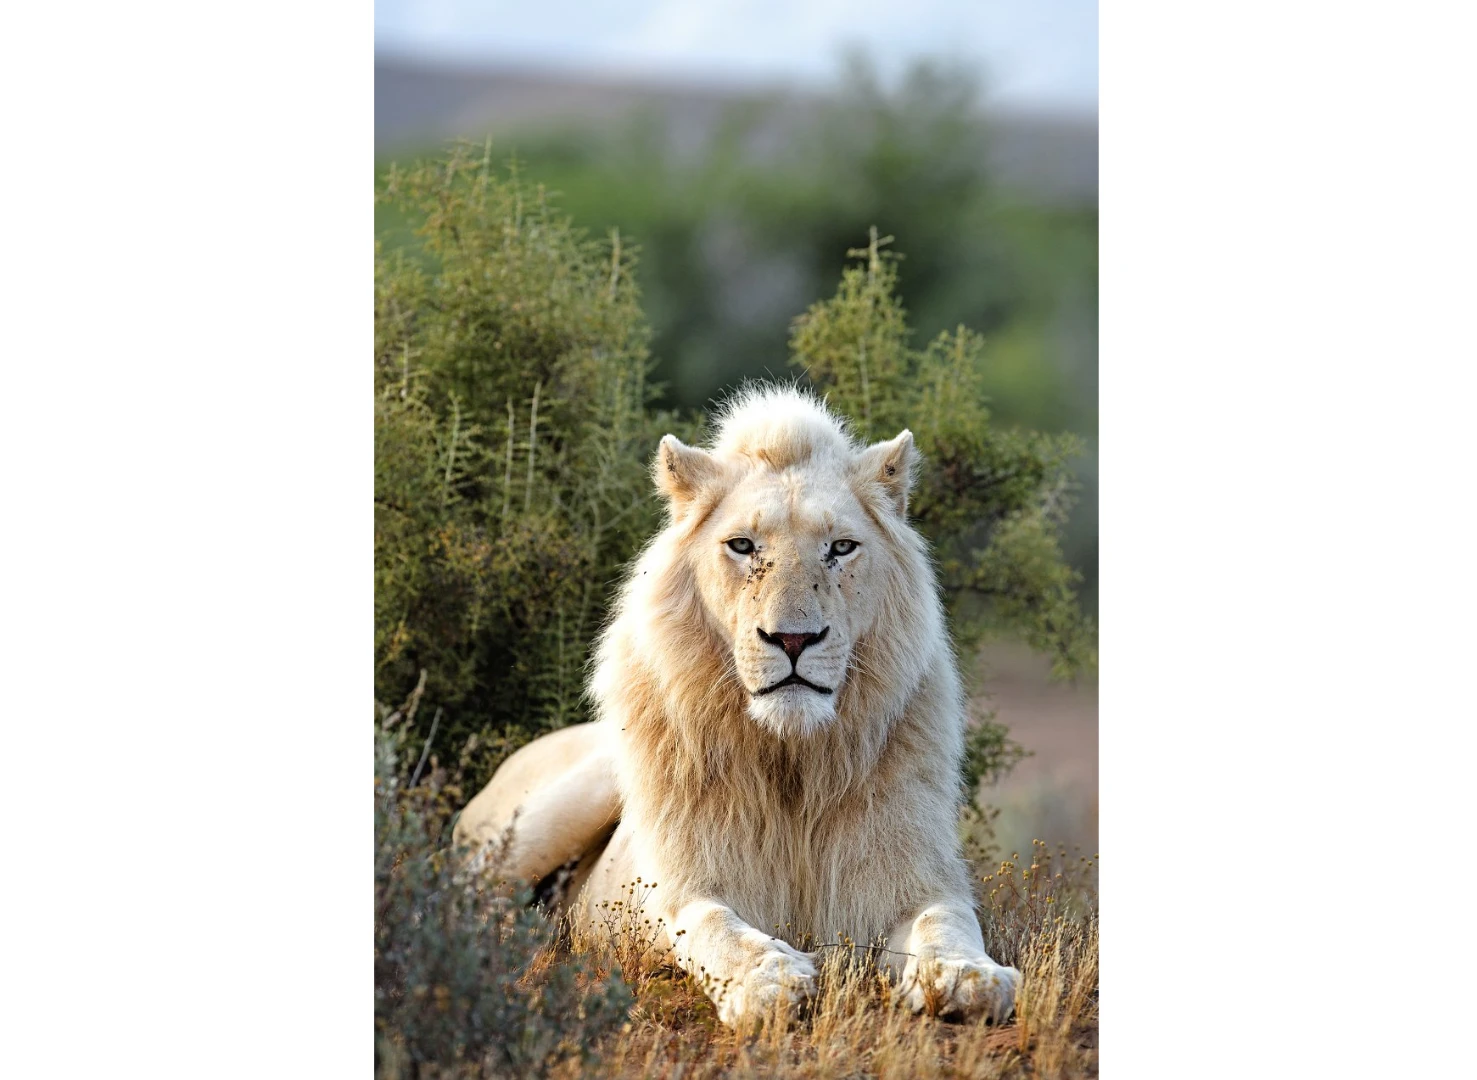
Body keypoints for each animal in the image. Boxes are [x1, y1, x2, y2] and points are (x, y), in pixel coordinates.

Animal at [453, 385, 1020, 1026]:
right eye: (743, 546)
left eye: (841, 548)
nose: (794, 639)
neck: (792, 763)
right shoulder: (681, 887)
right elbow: (711, 924)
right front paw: (769, 978)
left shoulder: (912, 878)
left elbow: (947, 922)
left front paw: (969, 976)